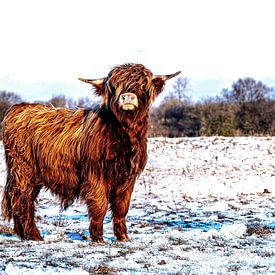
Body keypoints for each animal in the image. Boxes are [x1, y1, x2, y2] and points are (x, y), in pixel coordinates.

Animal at [1, 63, 181, 243]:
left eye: (143, 85)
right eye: (114, 86)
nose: (128, 97)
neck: (124, 133)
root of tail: (17, 108)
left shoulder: (127, 178)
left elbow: (121, 207)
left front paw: (123, 237)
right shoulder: (95, 174)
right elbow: (99, 205)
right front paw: (98, 237)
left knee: (20, 200)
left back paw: (22, 234)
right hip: (23, 170)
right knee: (22, 200)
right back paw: (34, 235)